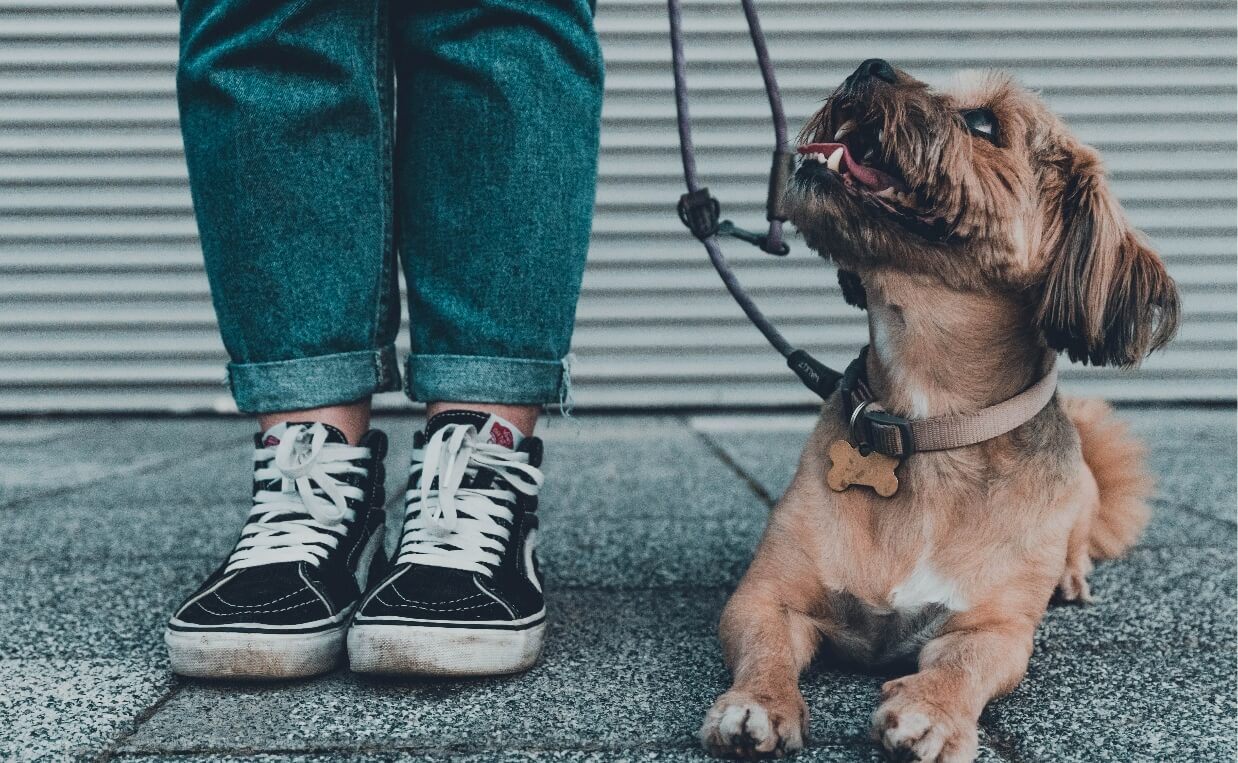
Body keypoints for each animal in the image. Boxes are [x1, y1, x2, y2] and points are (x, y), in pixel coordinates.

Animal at [698, 61, 1178, 763]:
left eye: (981, 122)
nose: (868, 67)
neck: (926, 425)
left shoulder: (993, 630)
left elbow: (965, 666)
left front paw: (932, 711)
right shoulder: (765, 598)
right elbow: (764, 650)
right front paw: (757, 704)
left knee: (1076, 543)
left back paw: (1069, 575)